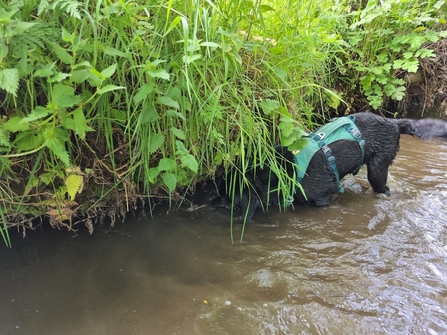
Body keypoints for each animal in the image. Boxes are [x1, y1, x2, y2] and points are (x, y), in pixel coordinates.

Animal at [212, 113, 447, 223]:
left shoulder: (322, 197)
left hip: (377, 170)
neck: (285, 170)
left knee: (383, 189)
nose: (213, 201)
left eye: (228, 196)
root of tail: (393, 122)